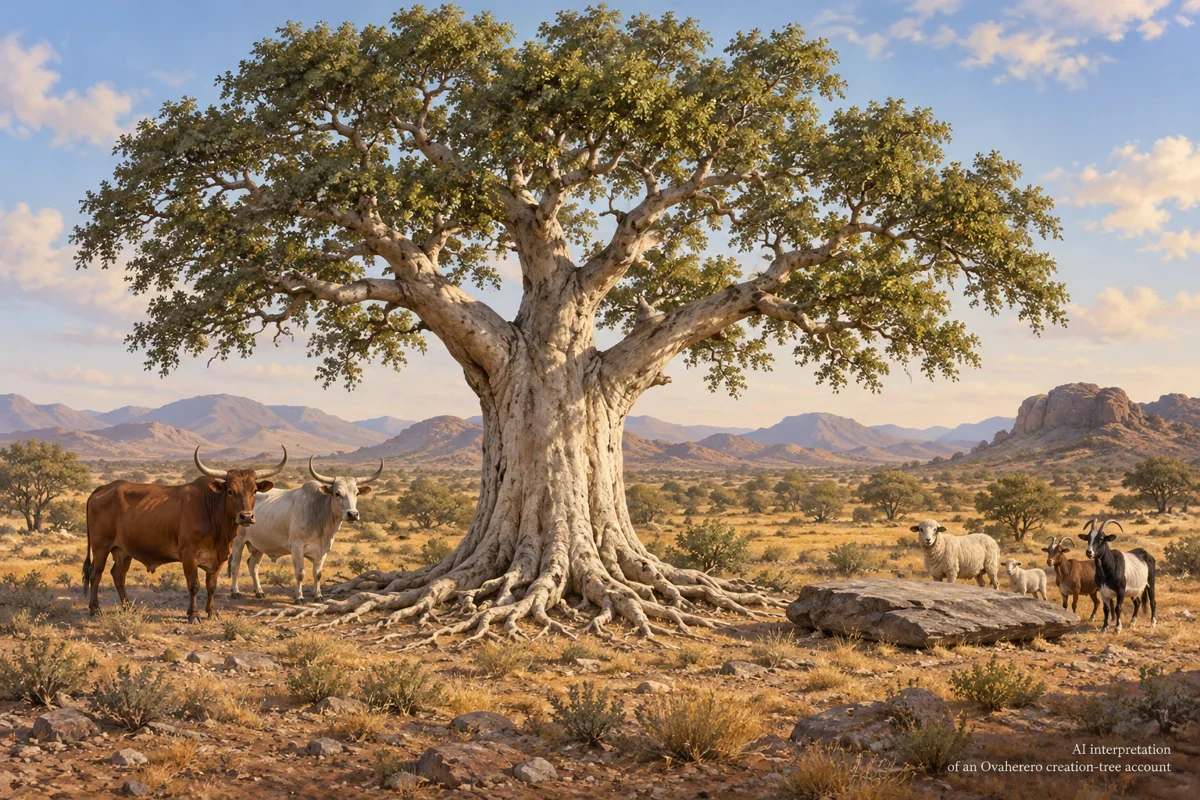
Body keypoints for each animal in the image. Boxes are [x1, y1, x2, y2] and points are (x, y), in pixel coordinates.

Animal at [84, 447, 287, 622]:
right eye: (230, 491)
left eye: (254, 491)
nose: (246, 516)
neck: (211, 512)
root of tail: (105, 488)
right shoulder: (189, 556)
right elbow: (194, 585)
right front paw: (194, 614)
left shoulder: (219, 558)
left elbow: (211, 586)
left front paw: (212, 612)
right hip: (101, 547)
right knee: (95, 574)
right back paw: (95, 609)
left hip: (122, 551)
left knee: (118, 575)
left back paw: (128, 607)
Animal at [228, 456, 383, 603]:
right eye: (337, 493)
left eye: (356, 493)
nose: (353, 514)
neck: (318, 513)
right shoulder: (297, 547)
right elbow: (300, 574)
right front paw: (299, 597)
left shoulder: (323, 550)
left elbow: (318, 574)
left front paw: (318, 596)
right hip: (238, 542)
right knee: (235, 565)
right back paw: (235, 592)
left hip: (259, 546)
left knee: (253, 566)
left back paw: (259, 592)